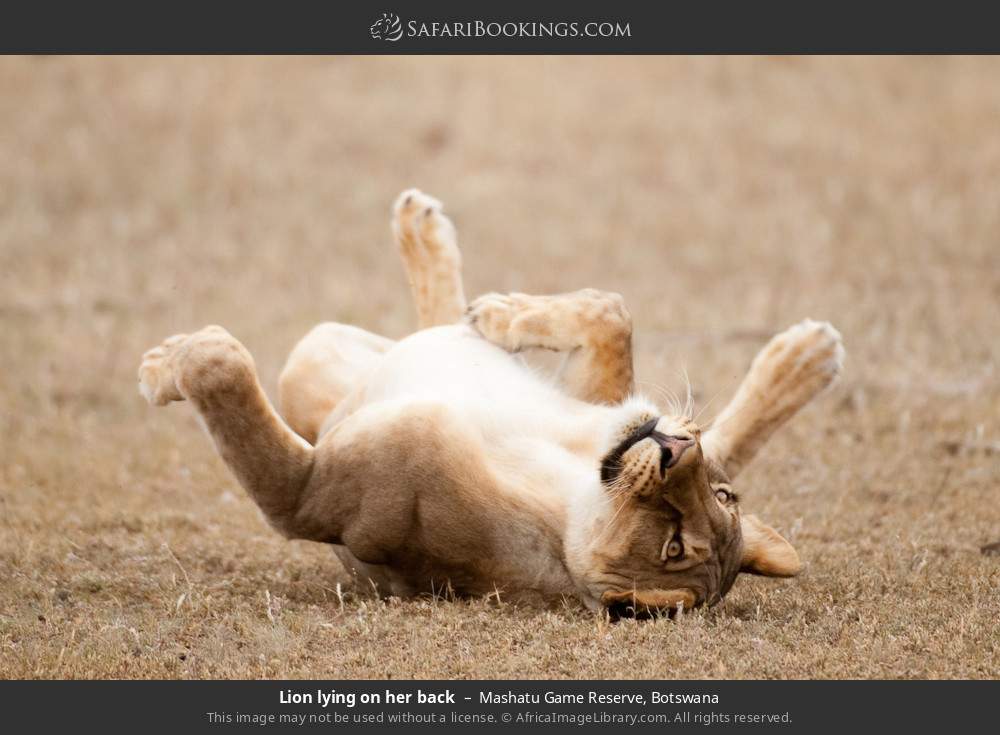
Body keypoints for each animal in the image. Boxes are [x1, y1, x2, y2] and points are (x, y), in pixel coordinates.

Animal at [138, 189, 844, 616]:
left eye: (675, 548)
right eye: (723, 495)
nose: (674, 447)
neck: (564, 482)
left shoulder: (309, 498)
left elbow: (223, 370)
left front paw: (173, 360)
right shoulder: (594, 403)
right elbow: (613, 314)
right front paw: (503, 314)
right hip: (323, 353)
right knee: (434, 326)